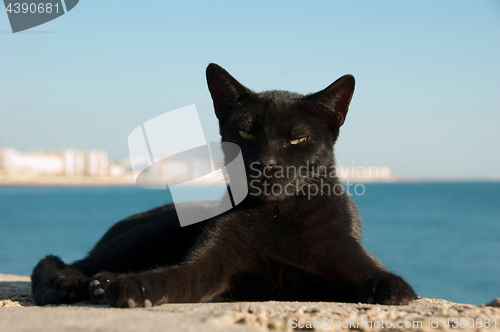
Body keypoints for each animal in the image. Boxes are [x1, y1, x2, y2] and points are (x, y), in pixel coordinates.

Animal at [31, 63, 418, 308]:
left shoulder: (342, 262)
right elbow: (175, 277)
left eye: (297, 139)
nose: (265, 163)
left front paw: (389, 289)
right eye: (245, 134)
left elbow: (377, 276)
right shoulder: (210, 263)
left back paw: (97, 283)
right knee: (67, 261)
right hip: (151, 233)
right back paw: (71, 285)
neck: (275, 215)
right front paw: (136, 287)